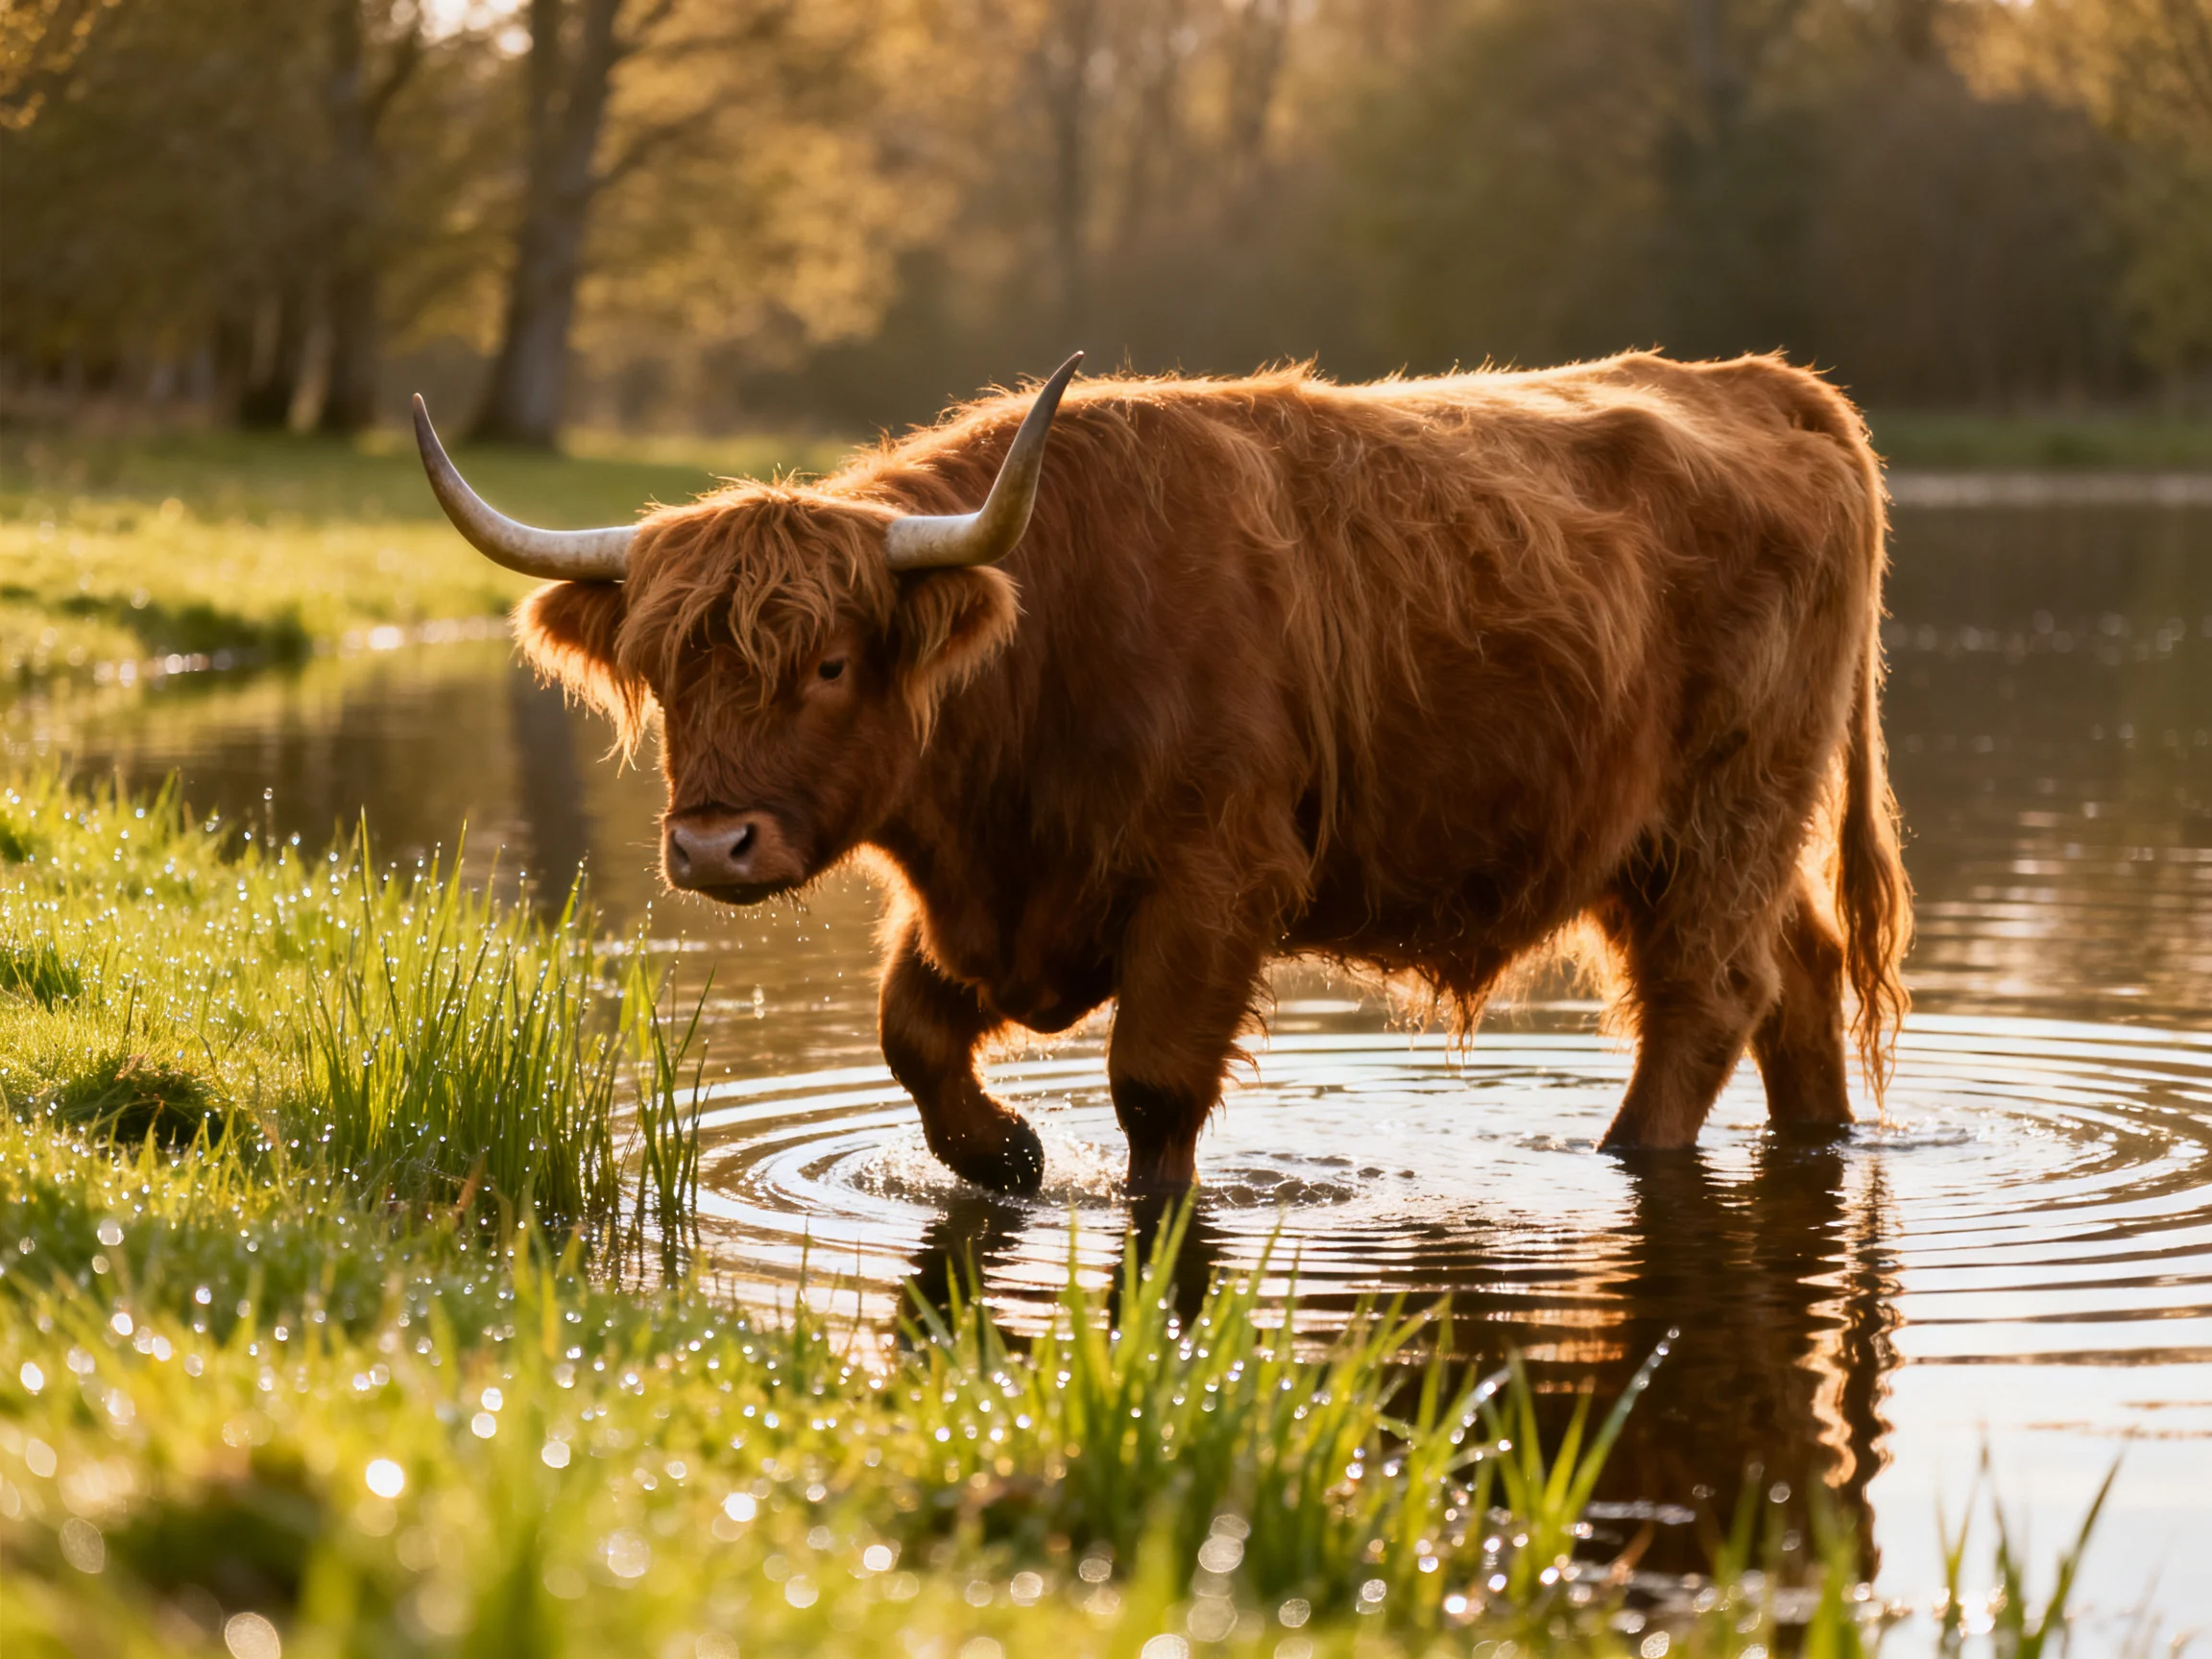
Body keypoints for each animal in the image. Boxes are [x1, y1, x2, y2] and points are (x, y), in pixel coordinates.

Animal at [412, 350, 1912, 1194]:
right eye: (670, 672)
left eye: (831, 665)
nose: (715, 845)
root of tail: (1768, 384)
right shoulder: (992, 905)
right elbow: (910, 1034)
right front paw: (1010, 1155)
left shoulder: (1213, 879)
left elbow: (1152, 1088)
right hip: (1662, 840)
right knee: (1797, 973)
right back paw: (1819, 1148)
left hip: (1727, 808)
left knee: (1708, 996)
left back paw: (1627, 1160)